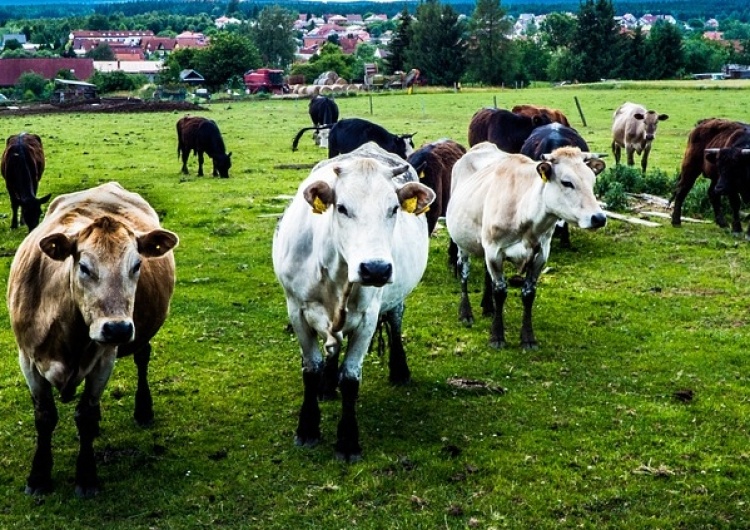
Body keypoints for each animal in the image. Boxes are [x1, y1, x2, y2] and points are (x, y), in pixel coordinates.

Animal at [7, 180, 179, 496]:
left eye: (137, 265)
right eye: (84, 267)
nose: (117, 329)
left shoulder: (103, 360)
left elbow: (85, 416)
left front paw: (86, 476)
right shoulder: (27, 359)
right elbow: (44, 417)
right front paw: (38, 476)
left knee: (142, 358)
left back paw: (143, 409)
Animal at [272, 140, 434, 458]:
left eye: (394, 208)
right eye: (342, 207)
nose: (376, 269)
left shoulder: (367, 318)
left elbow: (350, 377)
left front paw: (347, 440)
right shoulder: (297, 311)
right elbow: (311, 368)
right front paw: (308, 427)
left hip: (394, 299)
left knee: (395, 322)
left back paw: (399, 370)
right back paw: (326, 385)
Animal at [450, 146, 608, 348]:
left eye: (592, 181)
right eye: (567, 182)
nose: (599, 218)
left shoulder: (540, 255)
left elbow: (528, 294)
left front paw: (528, 338)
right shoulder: (494, 251)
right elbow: (500, 291)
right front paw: (497, 336)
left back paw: (488, 307)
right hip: (462, 241)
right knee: (464, 271)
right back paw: (466, 313)